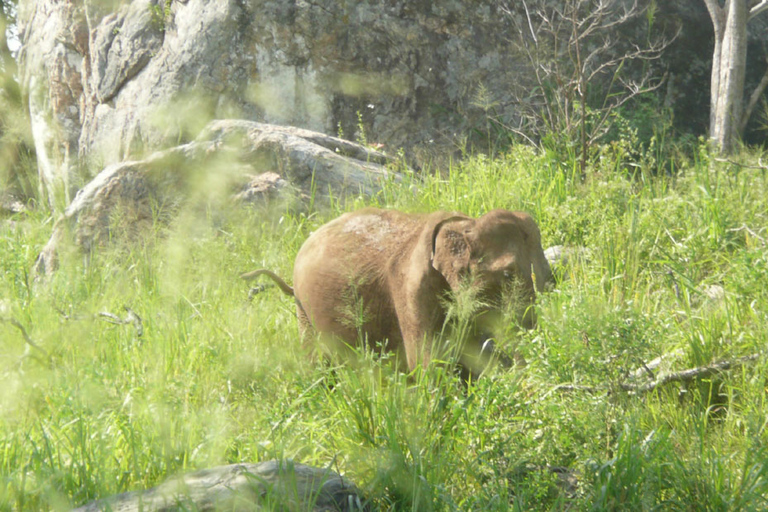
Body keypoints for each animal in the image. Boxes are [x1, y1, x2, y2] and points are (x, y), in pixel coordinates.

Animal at [242, 207, 552, 380]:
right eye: (508, 275)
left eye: (551, 279)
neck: (464, 224)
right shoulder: (412, 287)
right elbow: (428, 364)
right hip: (304, 310)